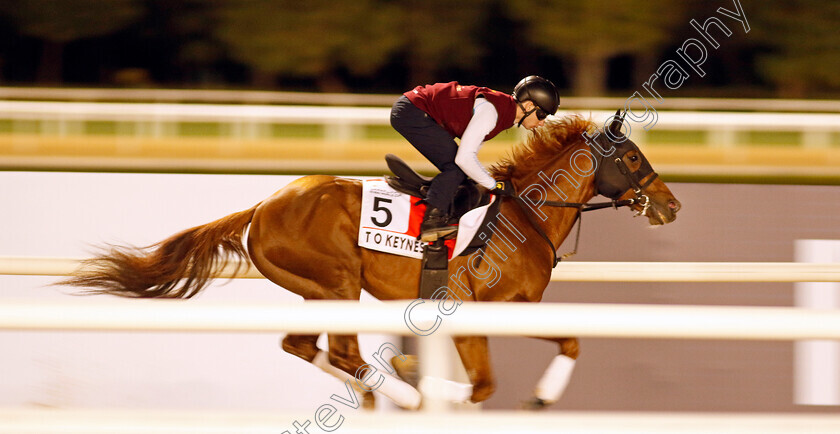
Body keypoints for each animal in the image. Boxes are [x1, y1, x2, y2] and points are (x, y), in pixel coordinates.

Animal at [65, 113, 684, 408]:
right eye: (632, 156)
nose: (672, 206)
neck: (524, 215)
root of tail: (263, 205)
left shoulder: (520, 308)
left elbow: (572, 341)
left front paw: (542, 395)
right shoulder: (473, 311)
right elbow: (483, 386)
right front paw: (428, 384)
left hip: (316, 290)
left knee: (301, 345)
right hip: (336, 281)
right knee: (340, 350)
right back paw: (404, 392)